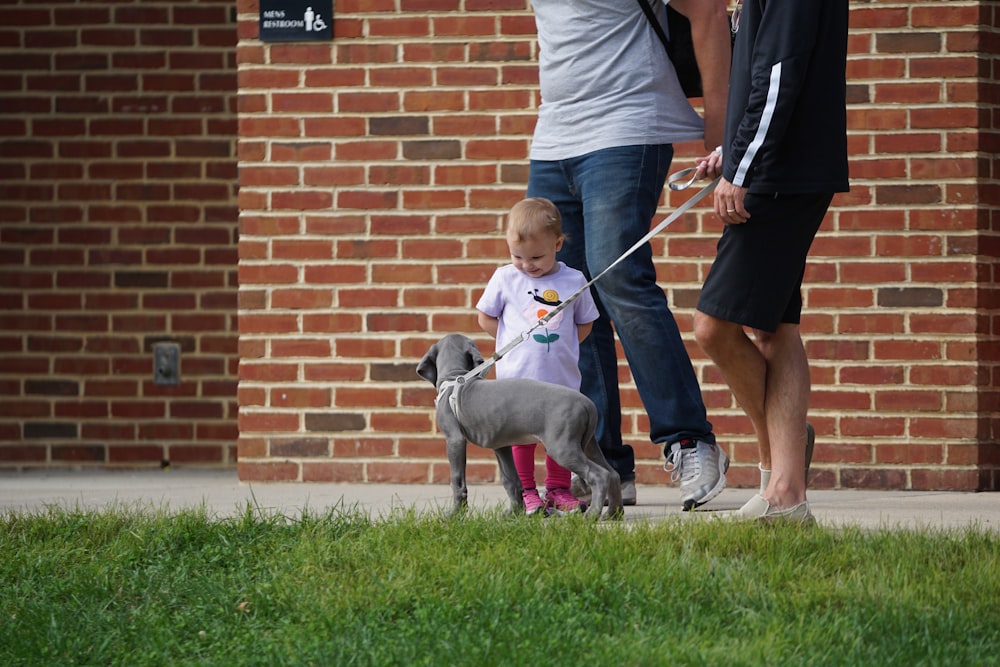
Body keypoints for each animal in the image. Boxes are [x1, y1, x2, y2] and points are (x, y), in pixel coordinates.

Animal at [412, 336, 616, 520]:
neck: (455, 378)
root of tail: (587, 403)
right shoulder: (501, 446)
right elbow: (510, 480)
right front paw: (513, 514)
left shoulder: (455, 440)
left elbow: (457, 480)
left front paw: (453, 515)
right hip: (588, 444)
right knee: (612, 473)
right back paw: (613, 514)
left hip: (563, 447)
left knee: (599, 475)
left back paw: (592, 514)